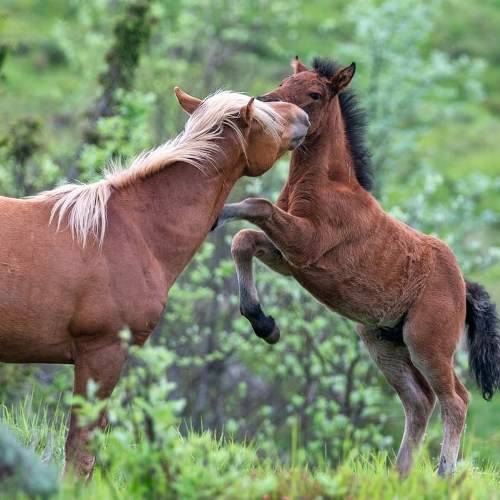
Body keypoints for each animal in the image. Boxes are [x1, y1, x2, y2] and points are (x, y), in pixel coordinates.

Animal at [216, 59, 500, 476]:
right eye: (285, 80)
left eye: (315, 94)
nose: (267, 103)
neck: (325, 184)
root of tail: (464, 285)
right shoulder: (291, 260)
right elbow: (244, 241)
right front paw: (265, 325)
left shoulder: (305, 245)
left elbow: (258, 205)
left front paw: (218, 212)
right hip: (383, 343)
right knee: (419, 401)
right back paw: (401, 475)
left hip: (427, 343)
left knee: (456, 399)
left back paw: (444, 473)